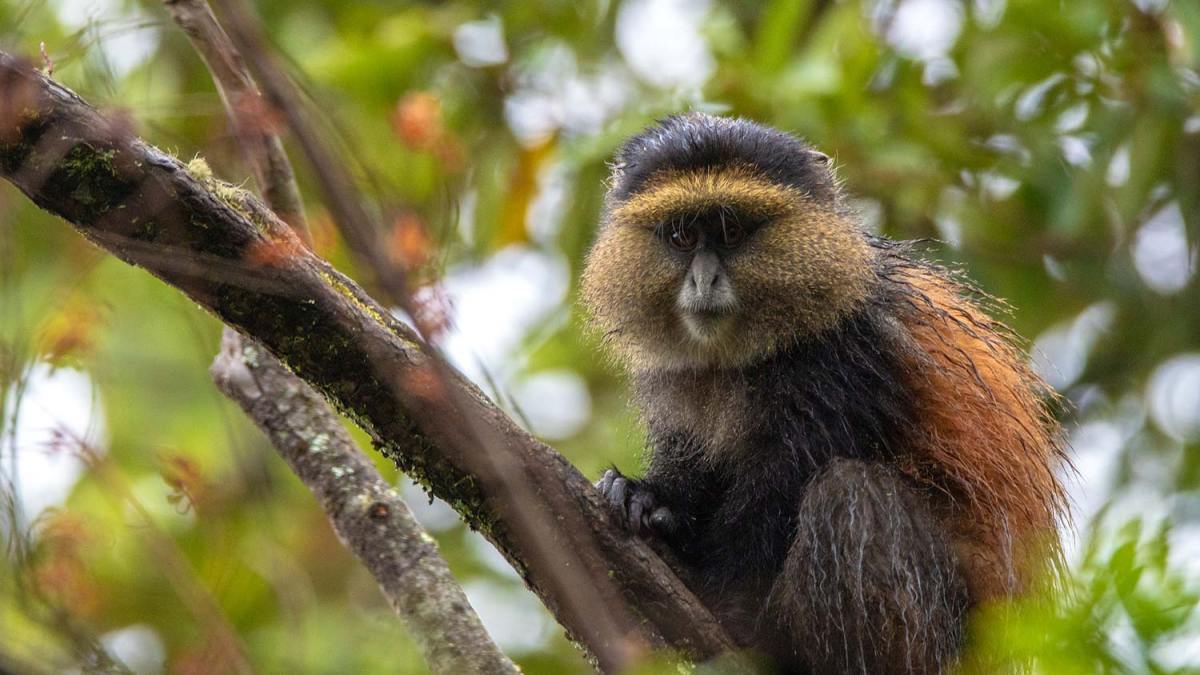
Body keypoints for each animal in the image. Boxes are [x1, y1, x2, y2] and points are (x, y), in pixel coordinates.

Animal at [581, 113, 1068, 674]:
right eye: (682, 235)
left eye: (731, 231)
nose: (704, 280)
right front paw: (647, 498)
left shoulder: (842, 361)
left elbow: (779, 494)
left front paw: (711, 592)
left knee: (851, 494)